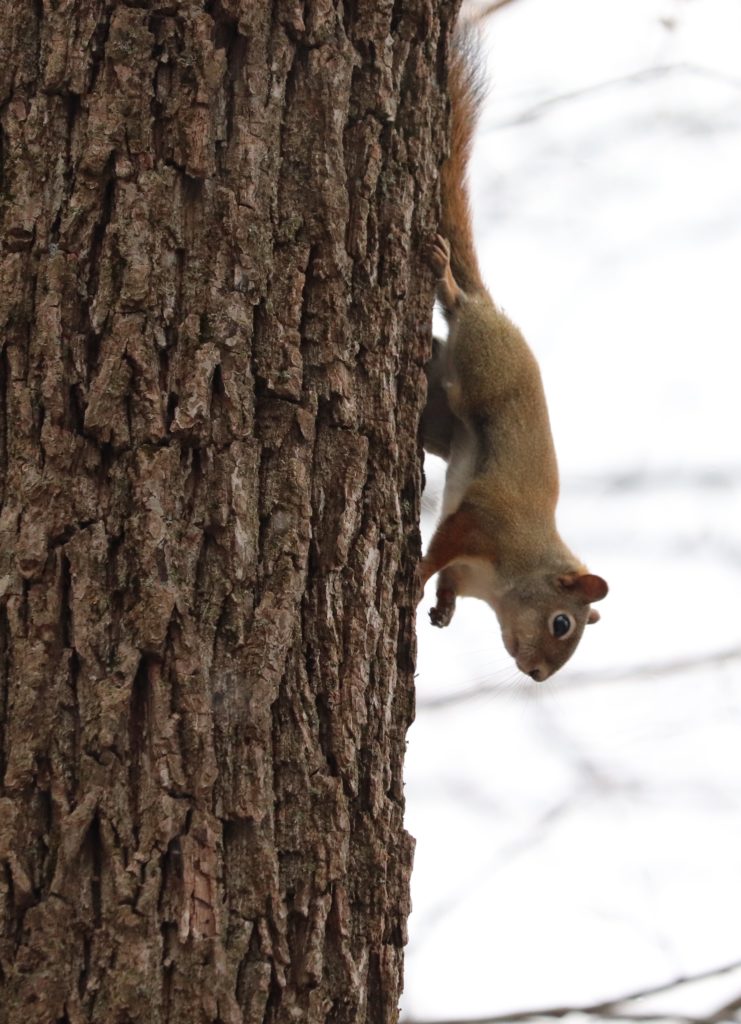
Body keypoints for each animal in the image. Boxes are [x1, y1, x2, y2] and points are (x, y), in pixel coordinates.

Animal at [417, 32, 605, 684]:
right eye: (562, 623)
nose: (539, 674)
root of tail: (495, 313)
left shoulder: (471, 566)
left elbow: (449, 579)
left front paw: (443, 608)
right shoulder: (482, 524)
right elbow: (439, 550)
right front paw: (413, 579)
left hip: (439, 422)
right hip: (480, 356)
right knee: (458, 309)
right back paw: (447, 280)